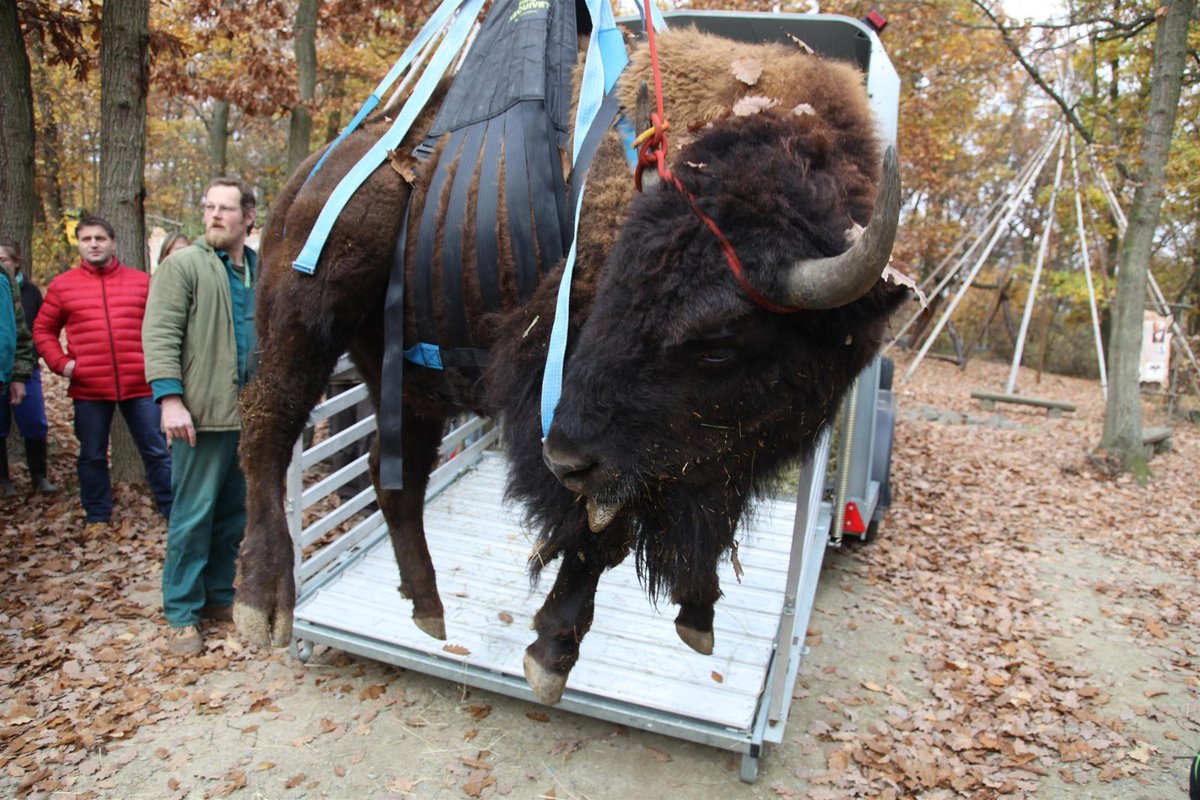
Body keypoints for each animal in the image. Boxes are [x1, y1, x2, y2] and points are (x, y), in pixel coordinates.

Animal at [234, 20, 907, 705]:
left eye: (719, 342)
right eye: (610, 289)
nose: (564, 457)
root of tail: (312, 172)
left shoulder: (697, 453)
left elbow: (700, 513)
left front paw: (698, 612)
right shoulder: (579, 426)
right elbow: (600, 535)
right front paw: (552, 653)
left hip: (406, 378)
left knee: (394, 473)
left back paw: (427, 607)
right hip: (305, 317)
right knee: (268, 426)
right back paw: (263, 603)